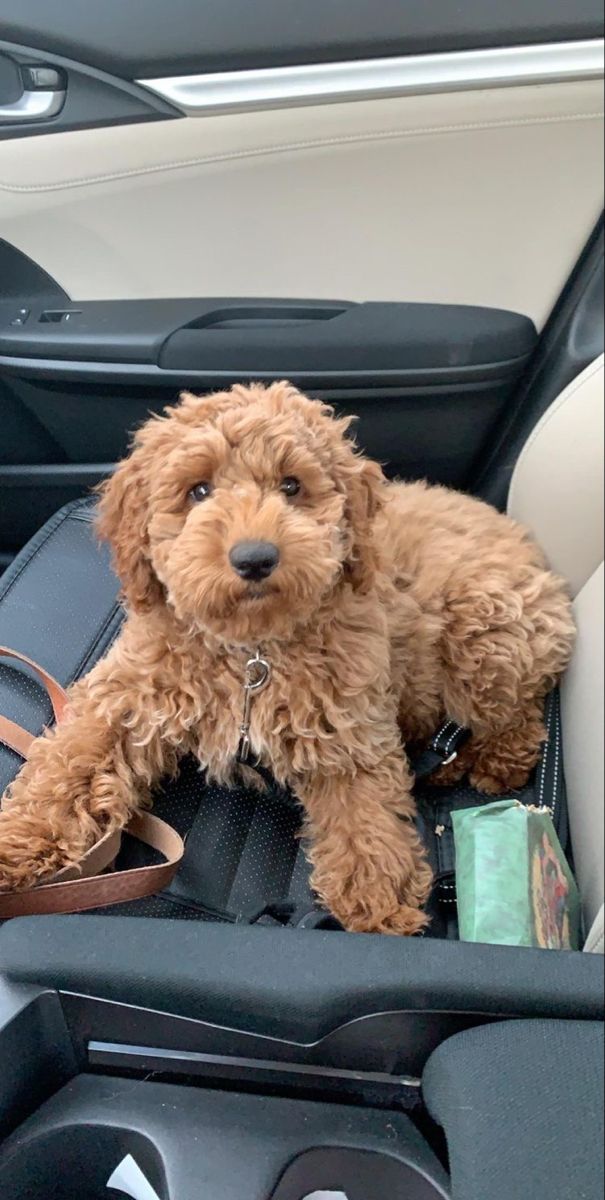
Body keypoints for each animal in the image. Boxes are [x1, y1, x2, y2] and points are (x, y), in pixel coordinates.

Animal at [0, 381, 576, 926]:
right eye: (198, 490)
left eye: (292, 486)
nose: (255, 557)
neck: (251, 654)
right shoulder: (129, 697)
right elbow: (72, 765)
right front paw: (20, 839)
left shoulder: (349, 722)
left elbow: (365, 810)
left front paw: (377, 895)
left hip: (484, 628)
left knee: (518, 715)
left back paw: (492, 762)